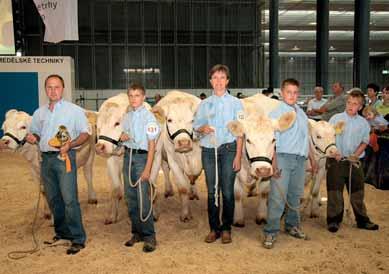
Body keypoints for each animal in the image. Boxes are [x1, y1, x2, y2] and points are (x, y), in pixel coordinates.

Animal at [151, 91, 202, 222]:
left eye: (192, 120)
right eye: (169, 120)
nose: (183, 143)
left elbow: (194, 175)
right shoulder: (173, 160)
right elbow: (183, 188)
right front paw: (185, 214)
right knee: (165, 169)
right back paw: (169, 190)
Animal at [226, 94, 296, 227]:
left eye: (273, 140)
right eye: (248, 140)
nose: (262, 170)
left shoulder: (269, 170)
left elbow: (264, 193)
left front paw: (262, 216)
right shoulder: (235, 170)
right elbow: (237, 194)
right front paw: (238, 218)